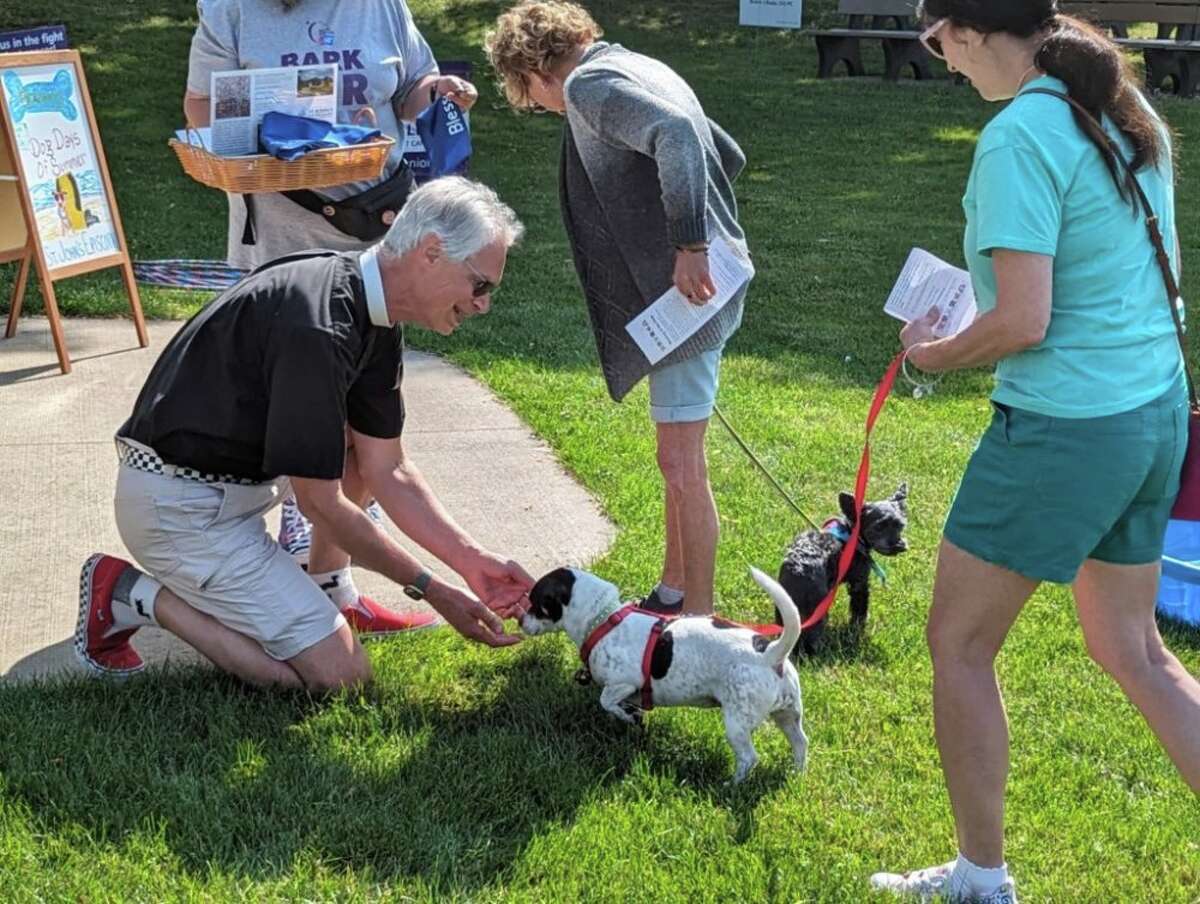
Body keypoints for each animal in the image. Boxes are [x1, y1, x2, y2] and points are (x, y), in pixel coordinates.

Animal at [523, 564, 811, 782]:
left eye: (535, 603)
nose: (519, 620)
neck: (603, 619)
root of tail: (771, 654)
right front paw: (632, 717)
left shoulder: (624, 682)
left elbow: (605, 700)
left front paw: (625, 717)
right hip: (788, 715)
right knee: (801, 743)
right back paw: (796, 775)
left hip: (737, 722)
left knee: (749, 758)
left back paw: (732, 785)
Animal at [777, 482, 907, 653]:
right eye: (879, 526)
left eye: (900, 525)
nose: (899, 545)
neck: (853, 533)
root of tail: (797, 571)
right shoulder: (860, 583)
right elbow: (859, 611)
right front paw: (857, 630)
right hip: (818, 610)